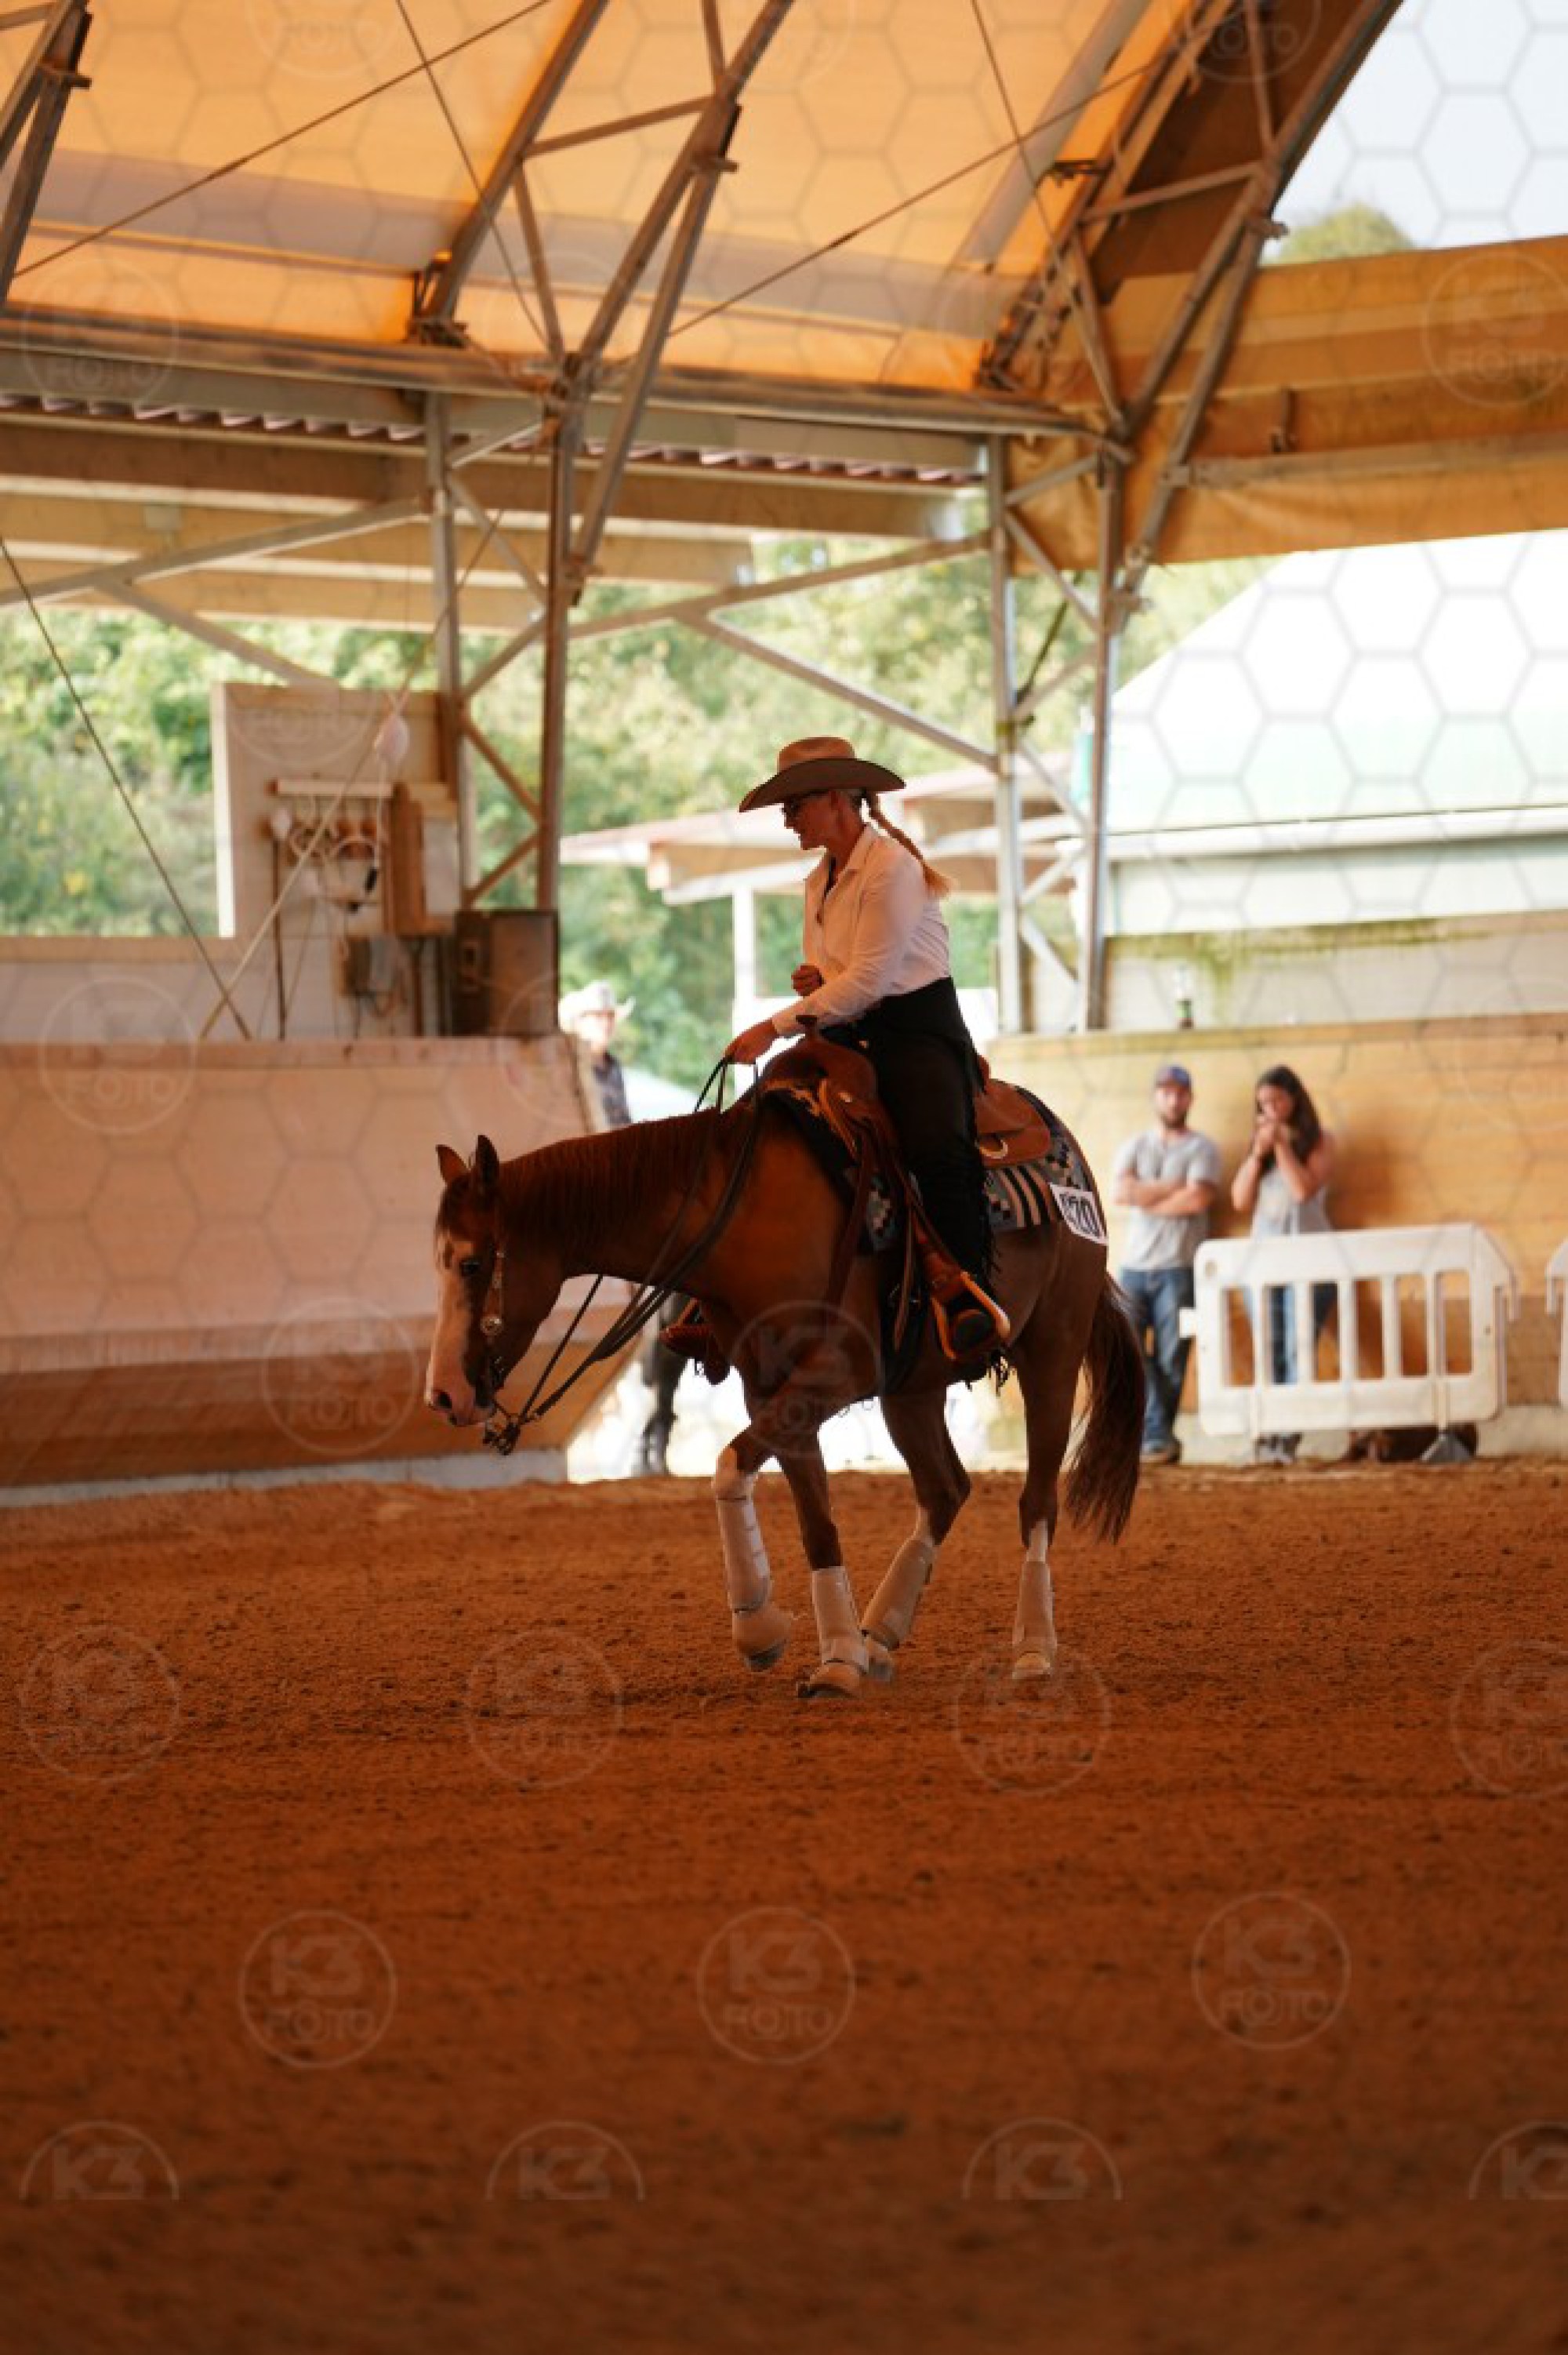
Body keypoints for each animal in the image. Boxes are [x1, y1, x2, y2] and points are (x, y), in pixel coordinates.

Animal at [425, 1084, 1144, 1699]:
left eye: (471, 1262)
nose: (444, 1394)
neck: (738, 1220)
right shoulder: (772, 1389)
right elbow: (814, 1521)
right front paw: (836, 1656)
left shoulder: (830, 1376)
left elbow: (728, 1466)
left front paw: (759, 1628)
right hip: (911, 1389)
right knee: (945, 1489)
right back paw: (878, 1636)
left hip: (1052, 1349)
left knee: (1037, 1500)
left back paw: (1034, 1649)